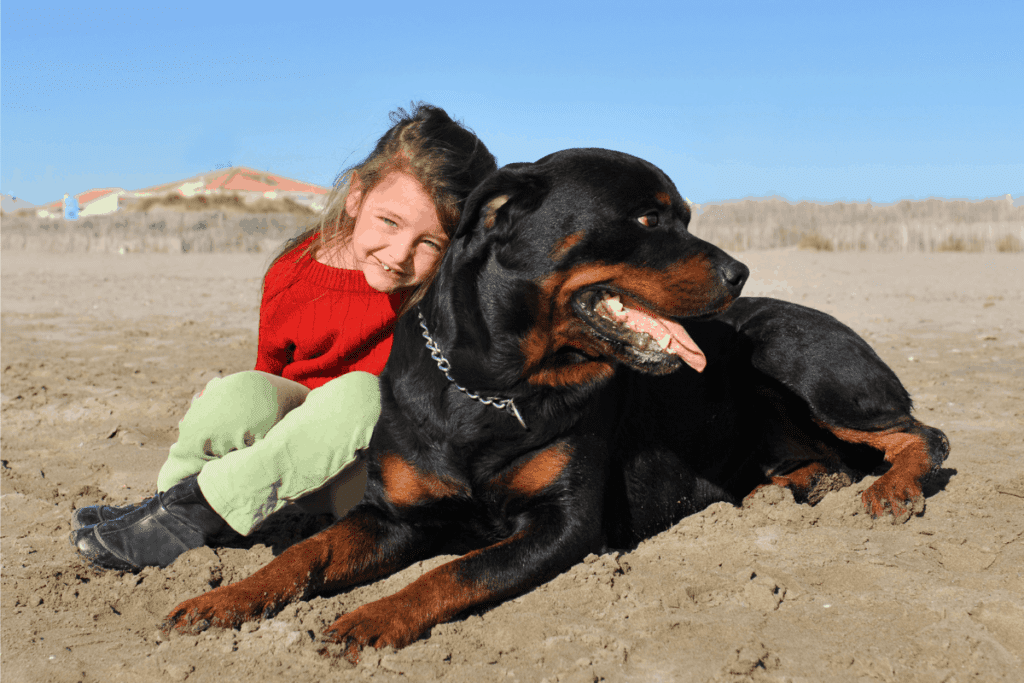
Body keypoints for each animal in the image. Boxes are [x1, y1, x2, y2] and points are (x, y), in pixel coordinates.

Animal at [161, 148, 950, 655]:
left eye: (684, 216)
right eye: (648, 219)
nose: (740, 271)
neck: (493, 384)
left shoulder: (561, 525)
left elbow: (454, 570)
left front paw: (373, 617)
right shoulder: (395, 517)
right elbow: (307, 552)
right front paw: (221, 598)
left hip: (799, 357)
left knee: (920, 434)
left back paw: (892, 489)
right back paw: (795, 485)